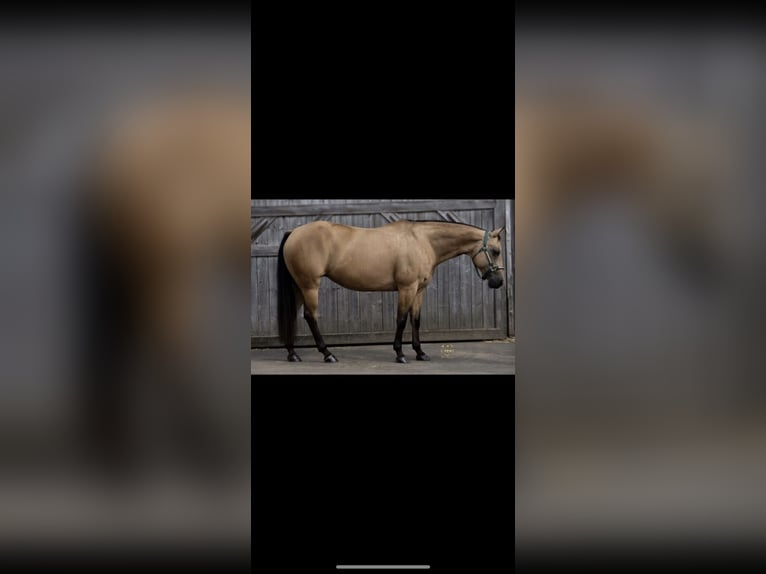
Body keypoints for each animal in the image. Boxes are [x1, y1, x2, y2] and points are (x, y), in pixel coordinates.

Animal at [280, 220, 508, 364]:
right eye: (496, 251)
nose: (498, 282)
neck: (423, 242)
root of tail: (294, 232)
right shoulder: (407, 288)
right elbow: (401, 320)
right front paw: (400, 354)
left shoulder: (419, 290)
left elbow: (415, 320)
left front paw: (420, 352)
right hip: (310, 286)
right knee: (310, 316)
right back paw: (328, 354)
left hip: (299, 287)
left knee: (291, 315)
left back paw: (293, 354)